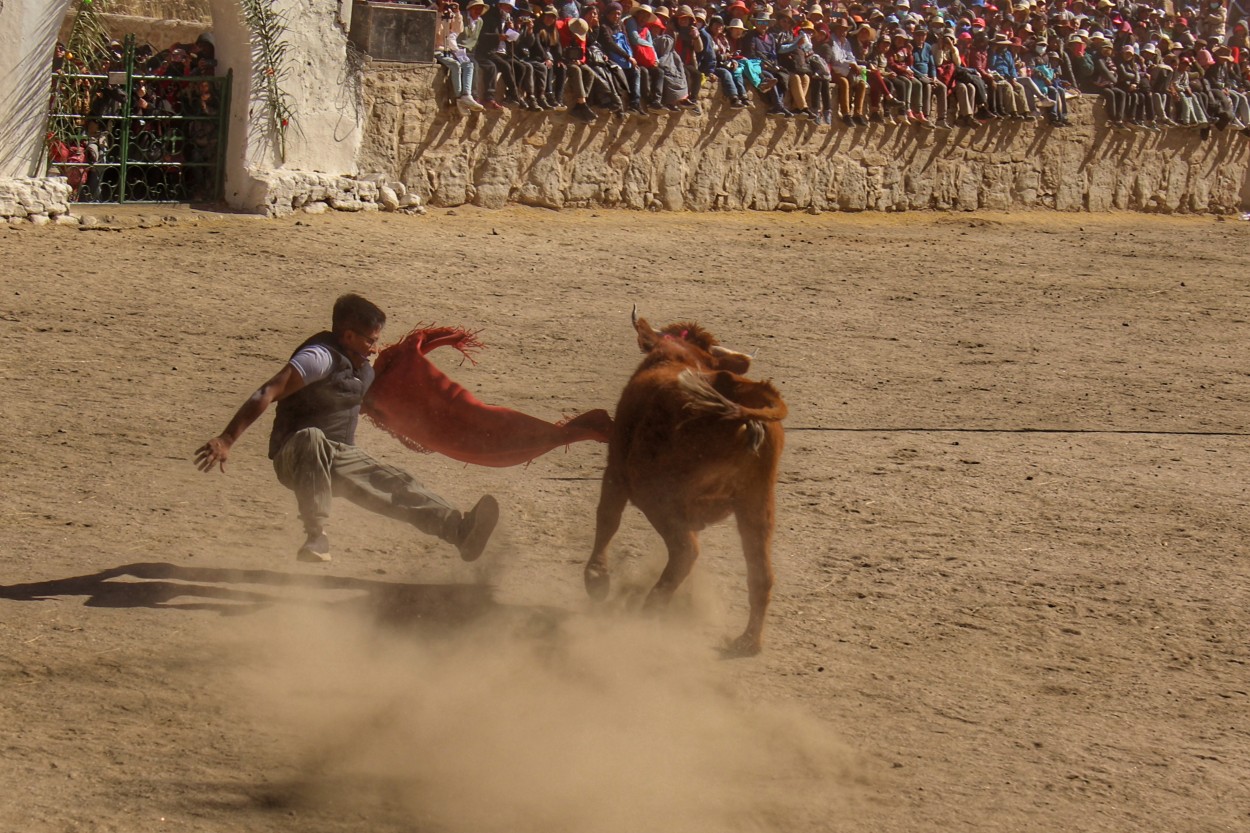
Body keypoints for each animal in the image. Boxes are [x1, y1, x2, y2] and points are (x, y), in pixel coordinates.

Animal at [587, 307, 790, 650]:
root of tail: (742, 405)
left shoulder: (614, 471)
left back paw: (649, 610)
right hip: (757, 502)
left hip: (659, 497)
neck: (679, 356)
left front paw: (597, 579)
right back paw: (748, 640)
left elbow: (607, 519)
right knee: (761, 573)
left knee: (686, 550)